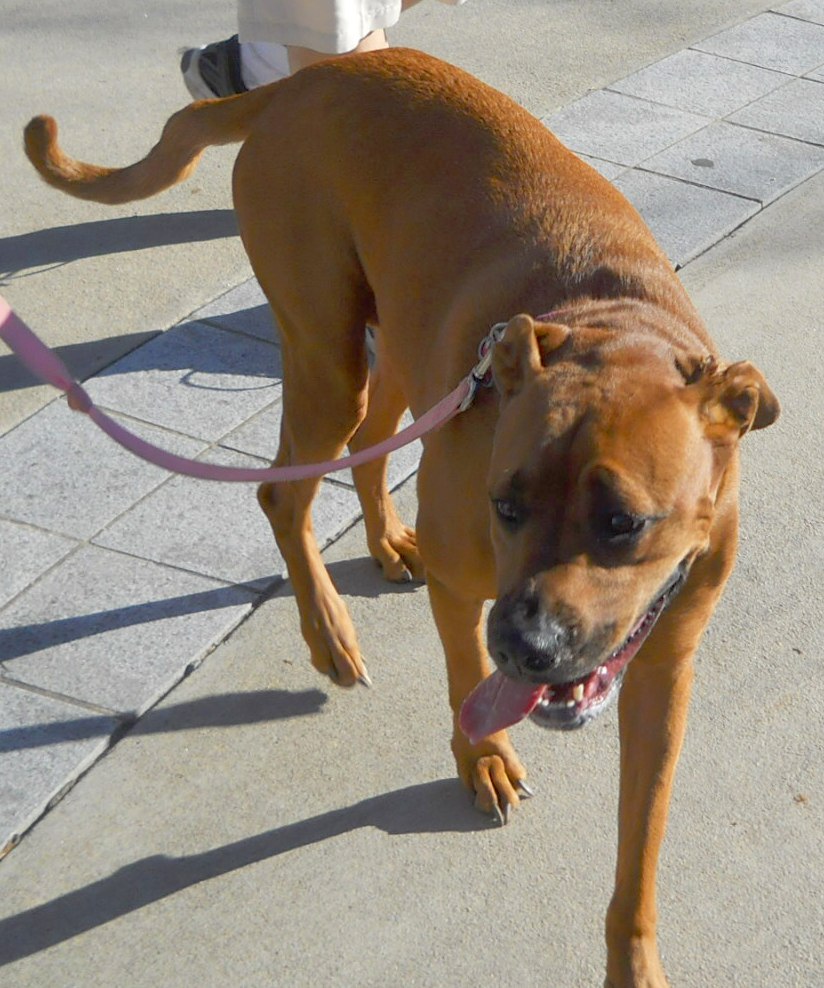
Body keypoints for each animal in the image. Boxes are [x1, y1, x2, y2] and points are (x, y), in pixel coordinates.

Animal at [24, 48, 778, 987]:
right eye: (505, 505)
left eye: (624, 524)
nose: (524, 648)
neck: (613, 326)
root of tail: (304, 81)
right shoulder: (469, 590)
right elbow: (462, 677)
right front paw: (482, 760)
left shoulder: (664, 669)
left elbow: (641, 843)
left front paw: (634, 960)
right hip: (327, 352)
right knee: (284, 490)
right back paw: (328, 633)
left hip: (395, 353)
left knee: (369, 448)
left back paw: (384, 544)